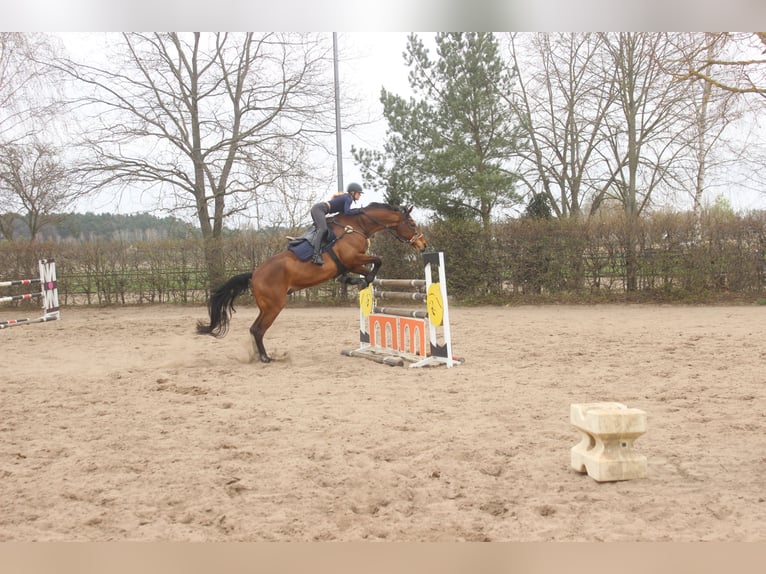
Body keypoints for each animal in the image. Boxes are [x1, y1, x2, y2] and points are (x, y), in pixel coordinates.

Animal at [196, 203, 428, 363]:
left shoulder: (351, 263)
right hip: (274, 306)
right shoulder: (352, 259)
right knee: (258, 330)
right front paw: (367, 280)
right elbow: (377, 261)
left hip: (266, 306)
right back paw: (265, 358)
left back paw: (259, 355)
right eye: (412, 223)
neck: (356, 226)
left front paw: (355, 280)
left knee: (254, 329)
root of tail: (254, 274)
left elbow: (366, 267)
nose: (423, 245)